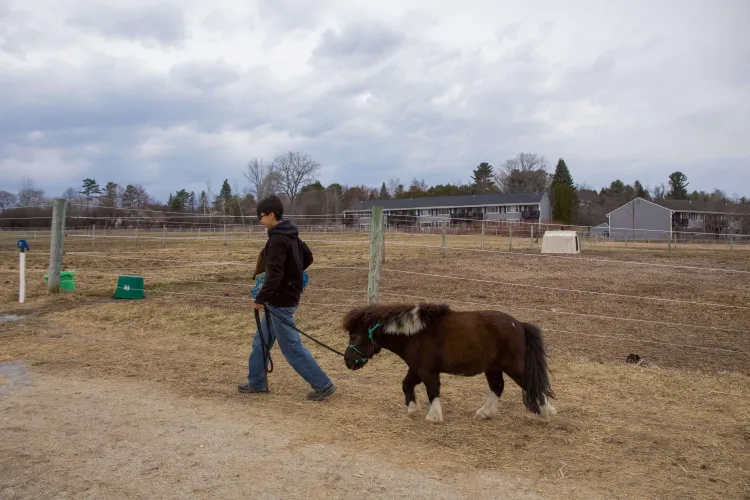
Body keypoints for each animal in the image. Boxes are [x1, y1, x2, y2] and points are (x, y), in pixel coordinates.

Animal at [342, 303, 556, 424]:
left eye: (355, 336)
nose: (348, 361)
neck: (415, 334)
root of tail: (519, 325)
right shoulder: (416, 369)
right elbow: (406, 384)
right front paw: (412, 407)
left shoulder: (427, 371)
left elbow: (433, 391)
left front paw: (433, 417)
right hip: (493, 368)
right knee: (497, 387)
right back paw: (485, 413)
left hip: (514, 367)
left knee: (531, 385)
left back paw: (544, 414)